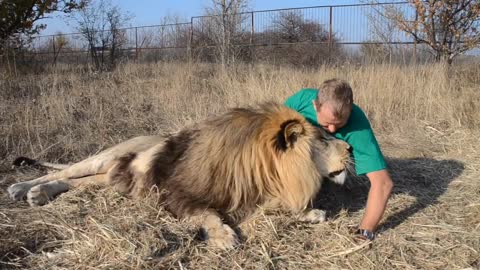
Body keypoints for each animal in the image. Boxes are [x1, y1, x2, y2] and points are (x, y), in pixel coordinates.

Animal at [7, 102, 350, 250]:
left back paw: (39, 194)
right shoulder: (177, 194)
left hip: (112, 177)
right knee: (65, 171)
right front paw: (224, 236)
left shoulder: (260, 196)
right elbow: (209, 214)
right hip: (104, 157)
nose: (349, 147)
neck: (265, 173)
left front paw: (313, 213)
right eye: (323, 140)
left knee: (73, 182)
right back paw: (22, 188)